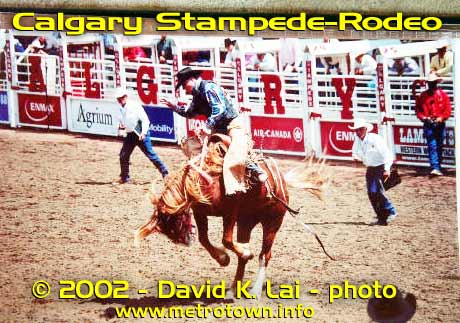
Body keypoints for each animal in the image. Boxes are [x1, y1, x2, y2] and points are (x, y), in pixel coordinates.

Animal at [133, 134, 328, 298]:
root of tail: (281, 182)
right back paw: (234, 288)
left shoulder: (230, 212)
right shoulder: (201, 213)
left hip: (272, 222)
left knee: (264, 255)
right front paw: (224, 258)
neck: (206, 179)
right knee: (243, 255)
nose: (186, 241)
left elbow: (226, 240)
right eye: (169, 232)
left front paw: (235, 254)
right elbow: (204, 239)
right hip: (245, 223)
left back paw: (255, 289)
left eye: (178, 222)